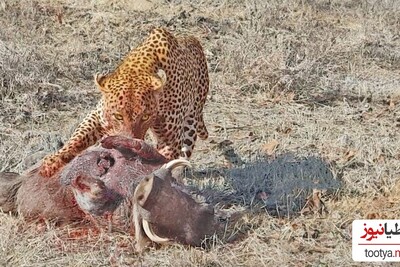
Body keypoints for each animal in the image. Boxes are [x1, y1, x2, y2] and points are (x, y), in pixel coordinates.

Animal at [38, 27, 209, 179]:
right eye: (118, 116)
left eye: (145, 116)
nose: (127, 148)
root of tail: (192, 39)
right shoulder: (98, 116)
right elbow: (77, 138)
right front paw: (53, 161)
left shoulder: (170, 139)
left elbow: (161, 161)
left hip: (191, 121)